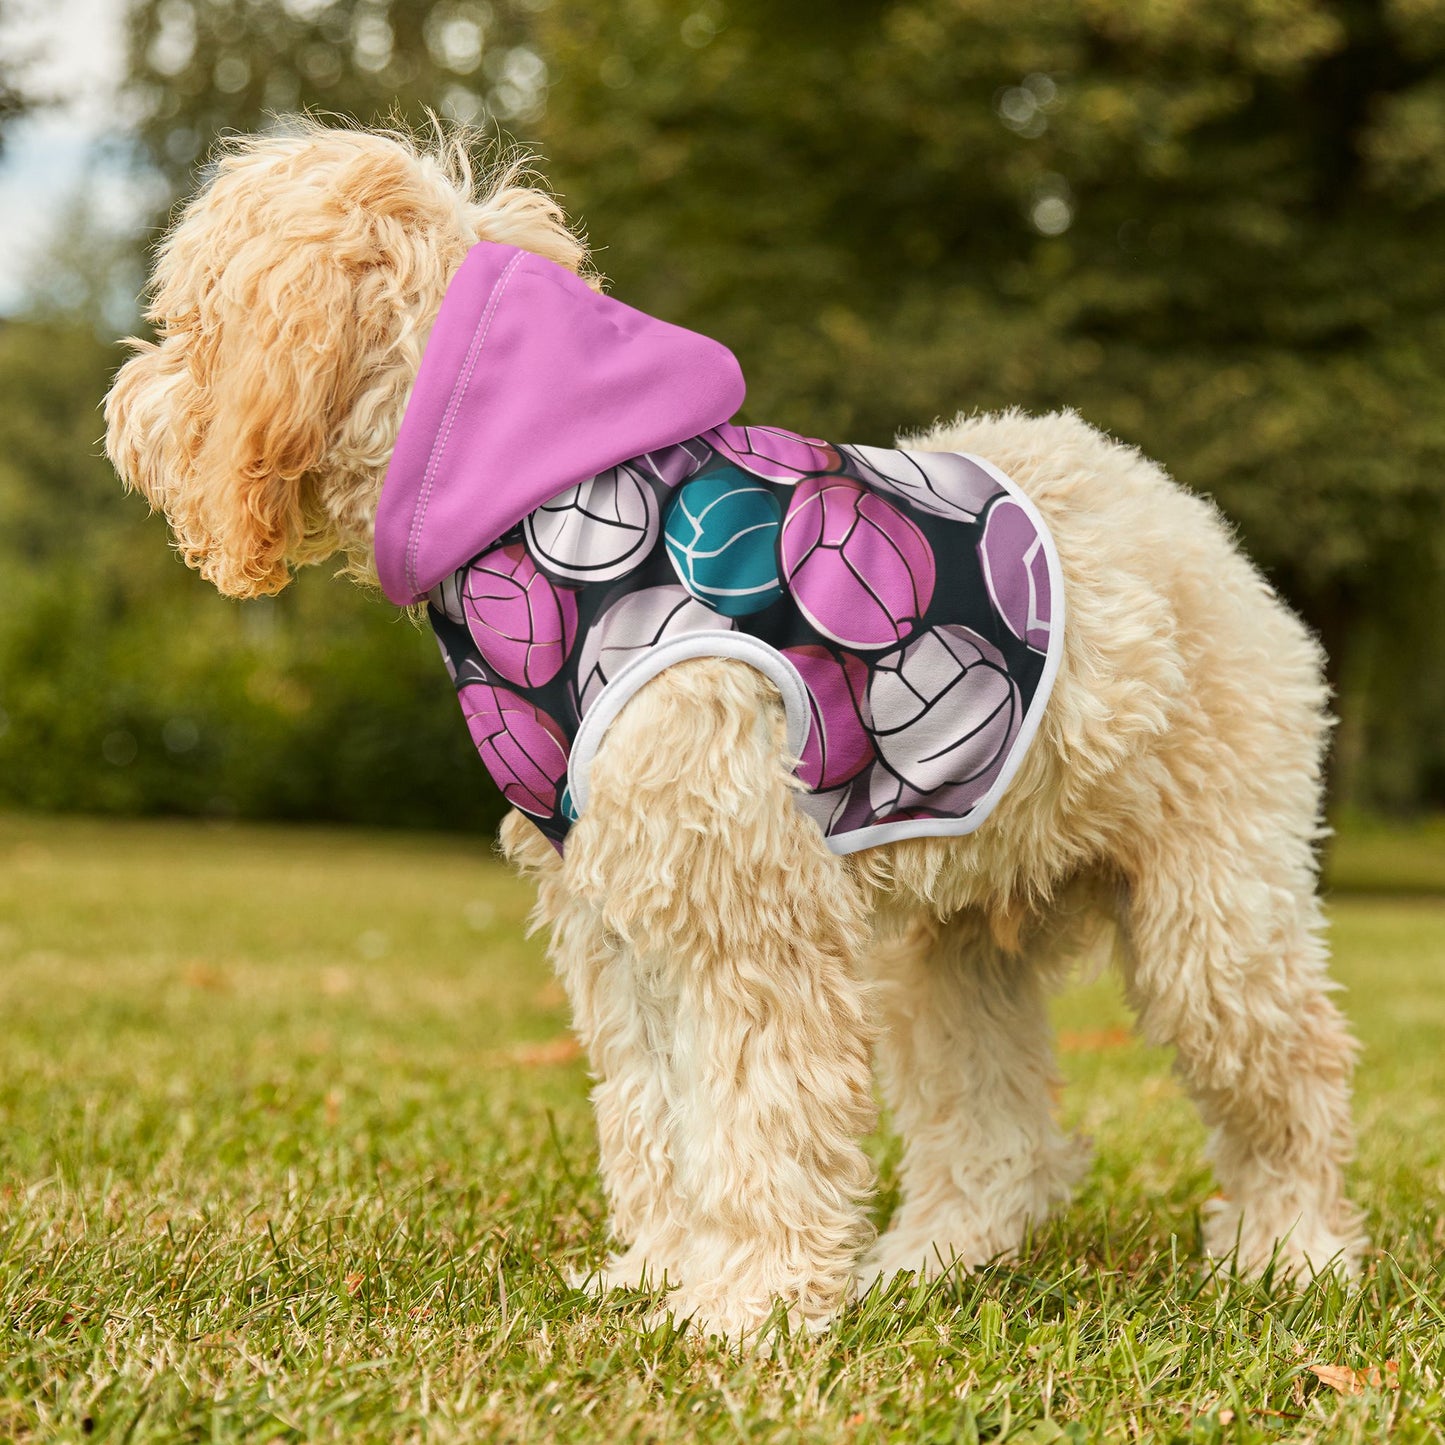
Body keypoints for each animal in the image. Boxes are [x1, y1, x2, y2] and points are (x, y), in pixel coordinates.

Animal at [104, 124, 1364, 1340]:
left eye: (190, 320)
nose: (123, 408)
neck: (539, 494)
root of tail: (1187, 517)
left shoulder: (744, 910)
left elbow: (759, 1112)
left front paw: (746, 1305)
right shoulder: (618, 918)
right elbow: (656, 1112)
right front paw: (662, 1273)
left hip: (1212, 913)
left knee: (1292, 1073)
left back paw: (1290, 1251)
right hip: (949, 949)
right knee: (995, 1132)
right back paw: (930, 1259)